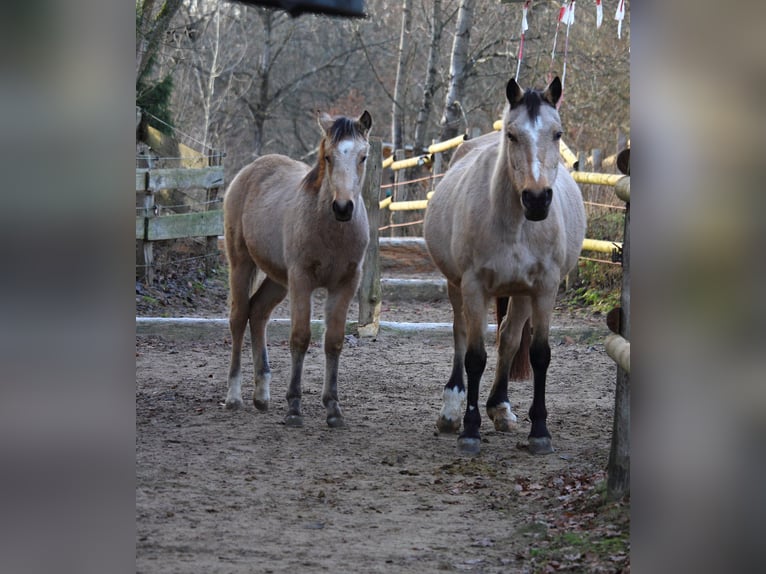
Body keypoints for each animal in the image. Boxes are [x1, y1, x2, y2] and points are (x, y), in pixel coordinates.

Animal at [223, 110, 373, 428]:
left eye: (363, 156)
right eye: (328, 156)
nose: (343, 207)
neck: (331, 231)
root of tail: (250, 170)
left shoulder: (346, 284)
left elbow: (334, 341)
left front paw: (333, 409)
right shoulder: (302, 279)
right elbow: (301, 337)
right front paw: (293, 408)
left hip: (278, 280)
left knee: (258, 313)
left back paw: (262, 396)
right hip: (241, 264)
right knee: (239, 317)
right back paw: (234, 396)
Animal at [423, 77, 586, 455]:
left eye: (557, 133)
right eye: (512, 135)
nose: (537, 199)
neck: (515, 224)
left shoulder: (544, 288)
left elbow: (539, 354)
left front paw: (539, 431)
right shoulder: (473, 286)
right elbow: (474, 356)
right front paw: (469, 430)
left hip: (521, 292)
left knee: (510, 338)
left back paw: (500, 407)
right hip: (456, 286)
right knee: (460, 335)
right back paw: (451, 410)